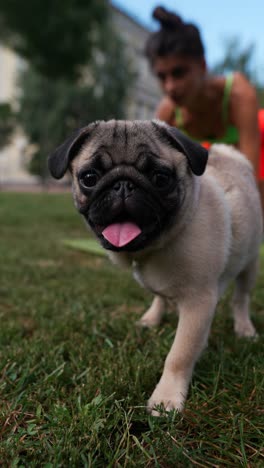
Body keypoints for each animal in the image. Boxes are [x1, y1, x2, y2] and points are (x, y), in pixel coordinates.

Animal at [48, 119, 262, 414]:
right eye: (89, 178)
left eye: (160, 178)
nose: (122, 185)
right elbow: (161, 299)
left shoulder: (198, 302)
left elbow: (180, 354)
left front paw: (166, 398)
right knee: (161, 296)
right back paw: (152, 318)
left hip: (249, 264)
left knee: (241, 298)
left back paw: (244, 329)